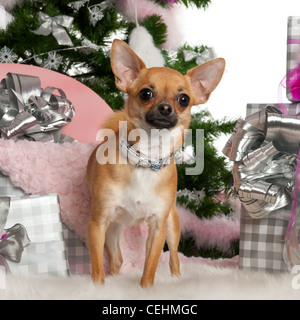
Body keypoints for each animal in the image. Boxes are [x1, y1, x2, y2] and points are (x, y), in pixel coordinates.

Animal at [85, 39, 224, 288]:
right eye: (146, 93)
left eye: (183, 99)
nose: (166, 108)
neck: (146, 159)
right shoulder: (97, 223)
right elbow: (97, 265)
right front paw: (98, 287)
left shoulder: (158, 226)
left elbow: (150, 266)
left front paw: (145, 289)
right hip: (112, 230)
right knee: (117, 259)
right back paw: (114, 278)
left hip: (172, 224)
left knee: (175, 257)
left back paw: (176, 278)